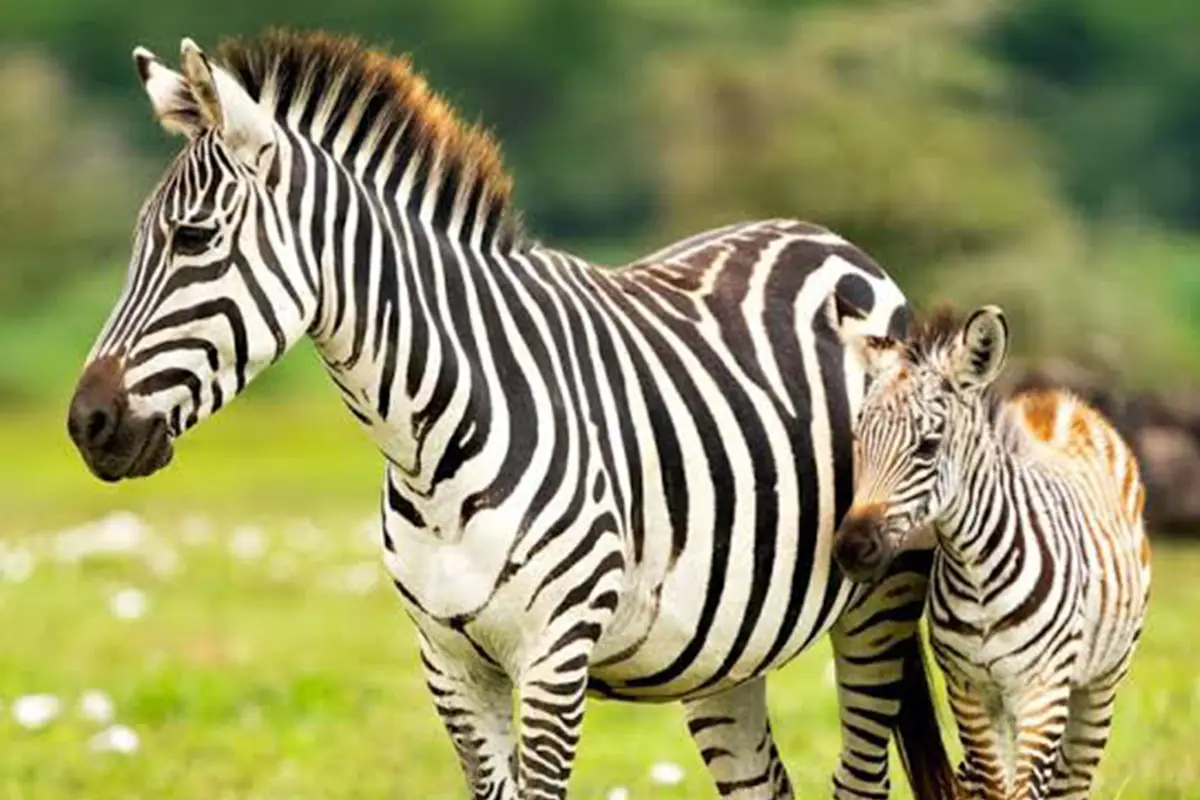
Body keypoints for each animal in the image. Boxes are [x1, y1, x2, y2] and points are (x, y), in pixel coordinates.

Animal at [65, 31, 957, 799]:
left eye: (192, 238)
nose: (87, 425)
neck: (425, 443)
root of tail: (827, 238)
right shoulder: (448, 662)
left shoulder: (554, 653)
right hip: (723, 647)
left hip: (878, 600)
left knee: (859, 776)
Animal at [831, 305, 1152, 799]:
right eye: (858, 436)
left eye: (928, 446)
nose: (852, 549)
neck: (976, 570)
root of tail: (1057, 398)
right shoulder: (969, 691)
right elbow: (991, 783)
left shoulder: (1042, 691)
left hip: (1100, 682)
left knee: (1072, 781)